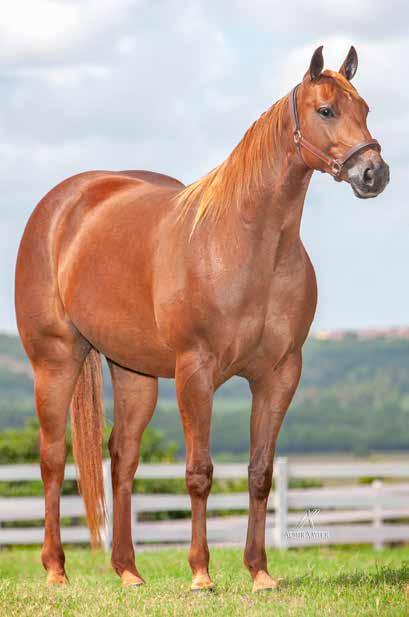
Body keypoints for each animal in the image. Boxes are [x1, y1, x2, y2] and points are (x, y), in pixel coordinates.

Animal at [14, 45, 388, 588]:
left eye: (365, 109)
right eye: (325, 110)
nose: (374, 174)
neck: (249, 245)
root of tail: (60, 205)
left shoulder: (279, 375)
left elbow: (260, 473)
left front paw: (259, 572)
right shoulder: (196, 372)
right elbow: (199, 473)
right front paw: (201, 574)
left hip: (134, 373)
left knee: (122, 457)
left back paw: (128, 571)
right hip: (55, 362)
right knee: (52, 458)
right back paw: (56, 570)